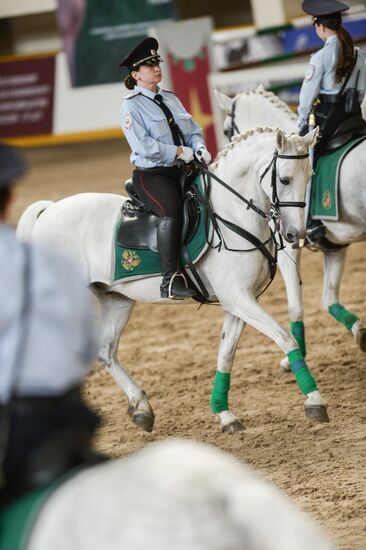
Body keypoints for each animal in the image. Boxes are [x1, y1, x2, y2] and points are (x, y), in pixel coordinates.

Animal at [17, 127, 324, 434]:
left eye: (310, 176)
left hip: (116, 299)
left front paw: (225, 415)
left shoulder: (237, 302)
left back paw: (141, 408)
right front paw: (314, 401)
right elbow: (285, 338)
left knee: (105, 351)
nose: (296, 234)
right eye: (284, 179)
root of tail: (48, 212)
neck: (232, 215)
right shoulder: (238, 298)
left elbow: (225, 355)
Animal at [214, 88, 366, 368]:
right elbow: (328, 300)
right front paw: (360, 333)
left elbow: (296, 306)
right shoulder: (335, 248)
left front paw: (296, 356)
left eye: (226, 129)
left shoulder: (289, 251)